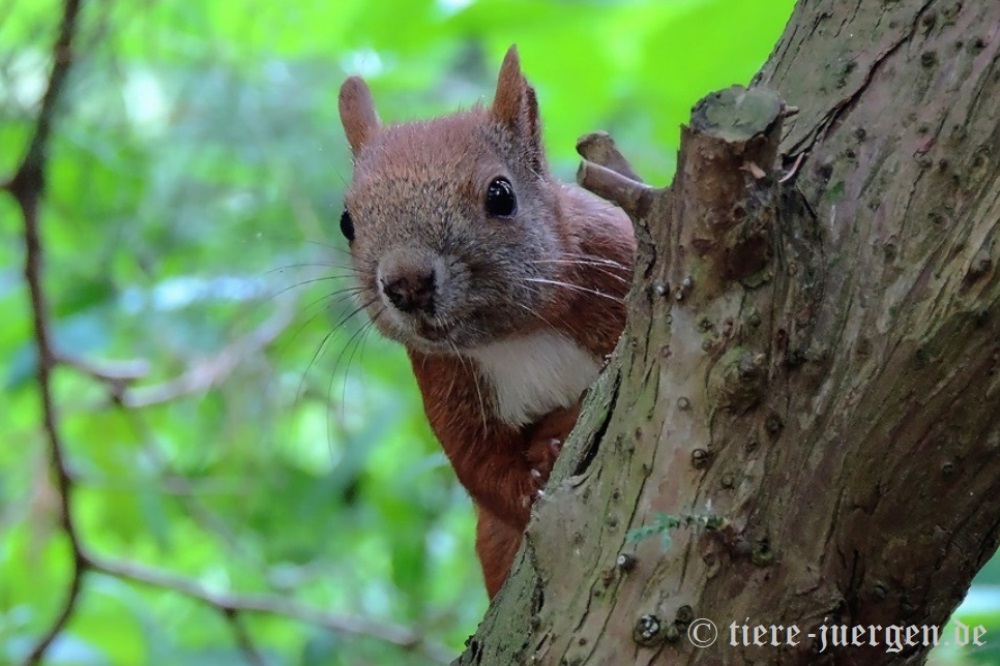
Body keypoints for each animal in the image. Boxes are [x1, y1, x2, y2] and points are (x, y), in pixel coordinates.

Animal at [336, 46, 632, 596]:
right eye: (347, 222)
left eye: (501, 195)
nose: (406, 284)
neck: (515, 334)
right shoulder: (442, 376)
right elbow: (477, 462)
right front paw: (533, 482)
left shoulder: (619, 259)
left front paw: (556, 435)